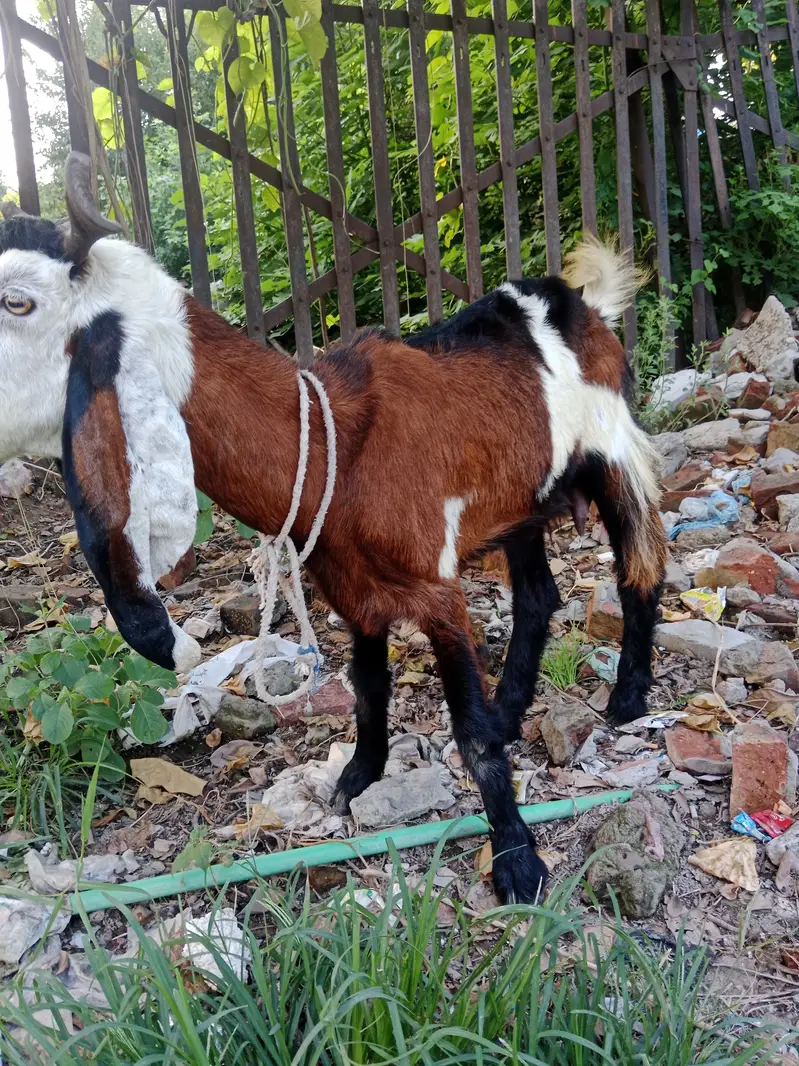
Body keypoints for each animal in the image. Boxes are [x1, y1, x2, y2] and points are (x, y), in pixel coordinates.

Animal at [0, 153, 666, 904]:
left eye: (18, 302)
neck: (334, 448)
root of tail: (581, 302)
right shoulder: (352, 590)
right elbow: (368, 688)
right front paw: (356, 779)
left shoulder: (437, 588)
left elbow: (469, 735)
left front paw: (517, 860)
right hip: (522, 497)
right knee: (537, 597)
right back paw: (513, 705)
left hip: (614, 451)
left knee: (640, 565)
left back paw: (627, 696)